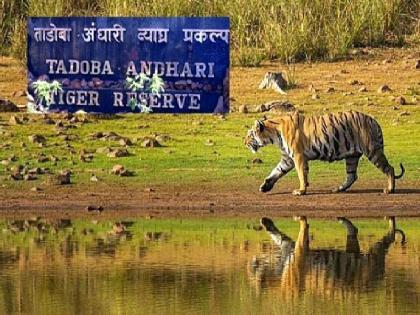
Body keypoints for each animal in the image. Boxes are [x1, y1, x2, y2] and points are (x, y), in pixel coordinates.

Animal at [244, 110, 406, 195]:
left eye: (250, 135)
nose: (244, 143)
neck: (274, 133)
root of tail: (374, 120)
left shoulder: (298, 156)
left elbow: (301, 174)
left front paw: (301, 190)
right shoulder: (287, 159)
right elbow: (276, 171)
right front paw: (265, 186)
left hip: (372, 151)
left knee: (389, 168)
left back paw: (390, 189)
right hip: (352, 156)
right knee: (352, 176)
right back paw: (338, 189)